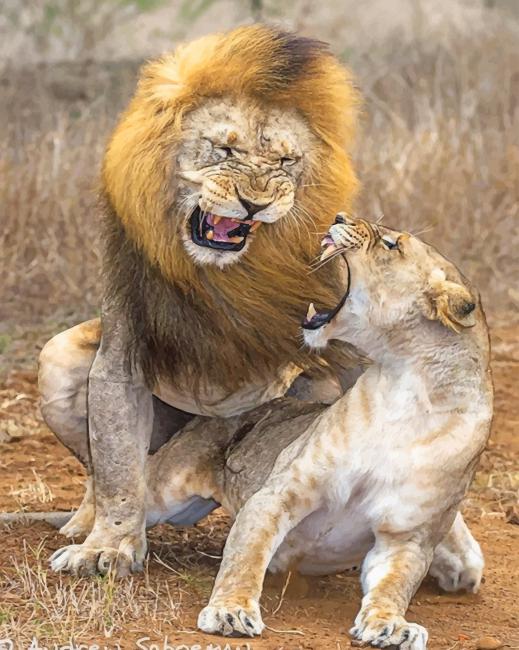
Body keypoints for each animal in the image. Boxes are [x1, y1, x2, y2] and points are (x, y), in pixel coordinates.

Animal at [38, 26, 360, 576]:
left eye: (284, 161)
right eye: (224, 151)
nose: (255, 203)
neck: (219, 275)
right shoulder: (122, 342)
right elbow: (117, 467)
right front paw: (108, 546)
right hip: (57, 363)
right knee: (105, 470)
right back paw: (83, 524)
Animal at [50, 215, 493, 649]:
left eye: (391, 245)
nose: (339, 216)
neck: (408, 394)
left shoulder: (404, 538)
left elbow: (394, 587)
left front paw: (390, 626)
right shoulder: (278, 495)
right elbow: (245, 559)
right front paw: (229, 612)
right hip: (166, 488)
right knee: (126, 492)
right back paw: (83, 545)